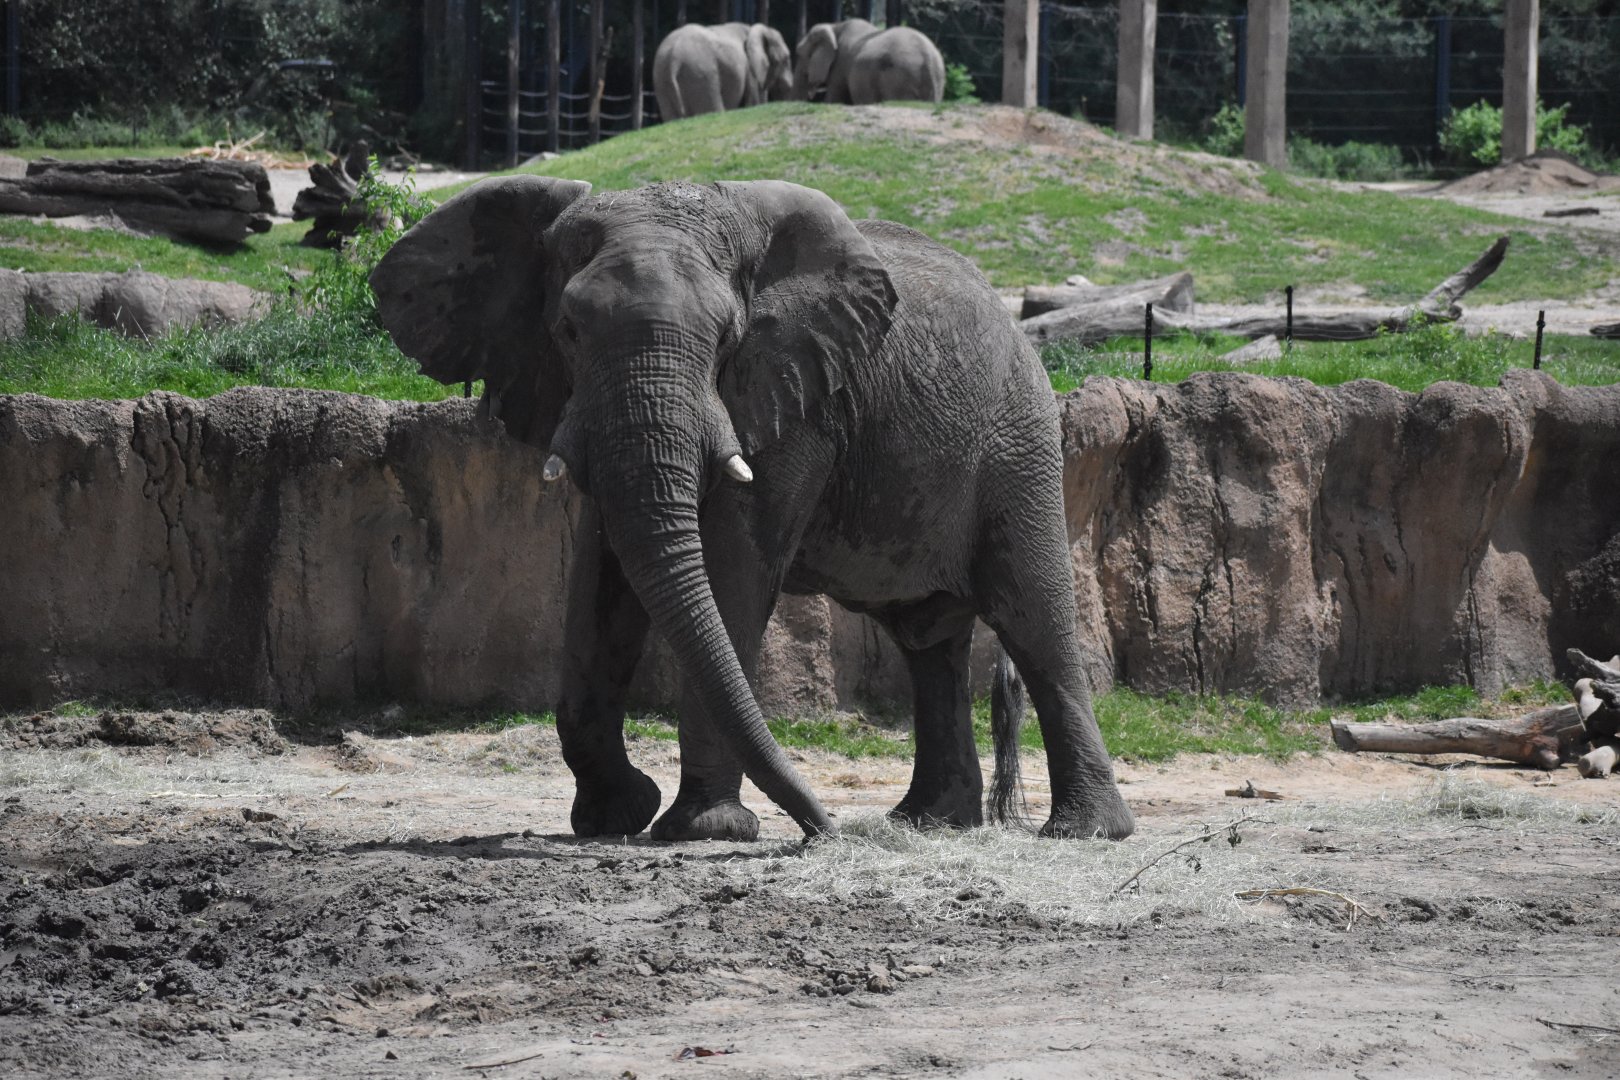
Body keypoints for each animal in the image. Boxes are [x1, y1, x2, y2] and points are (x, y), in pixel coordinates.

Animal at [369, 174, 1134, 845]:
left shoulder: (796, 399)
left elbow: (733, 566)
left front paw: (703, 829)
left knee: (1031, 618)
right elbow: (602, 578)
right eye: (568, 332)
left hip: (1019, 445)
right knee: (929, 641)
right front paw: (615, 815)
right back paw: (927, 824)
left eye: (725, 340)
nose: (823, 830)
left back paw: (1084, 831)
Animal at [653, 22, 793, 121]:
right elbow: (755, 101)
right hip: (701, 74)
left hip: (662, 80)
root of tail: (673, 59)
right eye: (786, 59)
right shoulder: (751, 70)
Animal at [794, 19, 945, 105]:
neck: (835, 26)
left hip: (899, 79)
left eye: (799, 54)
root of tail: (929, 60)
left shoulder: (840, 64)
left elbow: (834, 98)